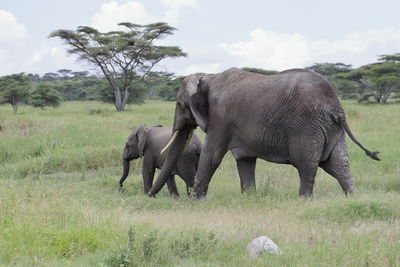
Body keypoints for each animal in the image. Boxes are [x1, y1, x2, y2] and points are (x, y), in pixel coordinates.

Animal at [148, 68, 380, 199]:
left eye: (180, 104)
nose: (149, 196)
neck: (207, 77)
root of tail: (337, 108)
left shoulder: (220, 118)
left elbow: (212, 156)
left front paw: (196, 201)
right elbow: (245, 161)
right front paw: (250, 198)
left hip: (308, 127)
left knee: (307, 165)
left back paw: (303, 201)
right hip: (331, 129)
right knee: (338, 165)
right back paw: (352, 197)